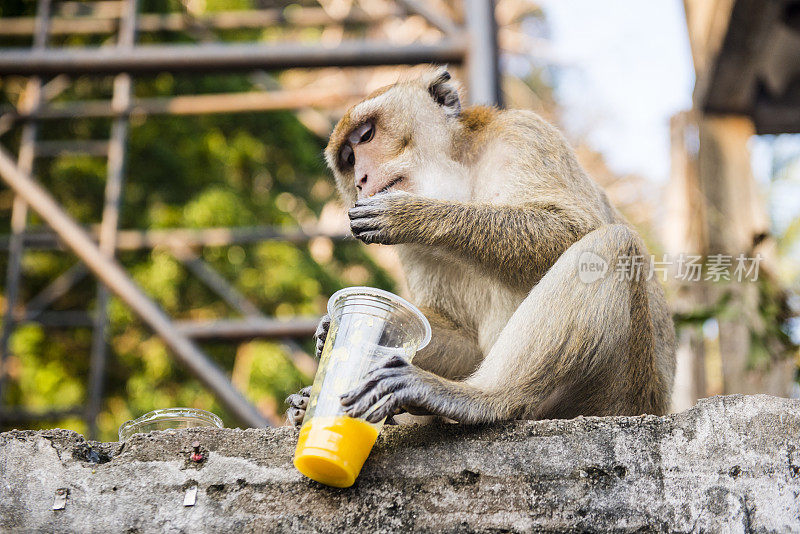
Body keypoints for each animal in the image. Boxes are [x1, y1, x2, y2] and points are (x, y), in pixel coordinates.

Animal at [288, 68, 676, 428]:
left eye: (367, 135)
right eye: (348, 158)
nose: (361, 180)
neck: (461, 176)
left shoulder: (525, 134)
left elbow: (574, 228)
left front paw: (412, 214)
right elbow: (465, 340)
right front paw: (338, 330)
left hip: (618, 396)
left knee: (610, 246)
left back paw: (480, 399)